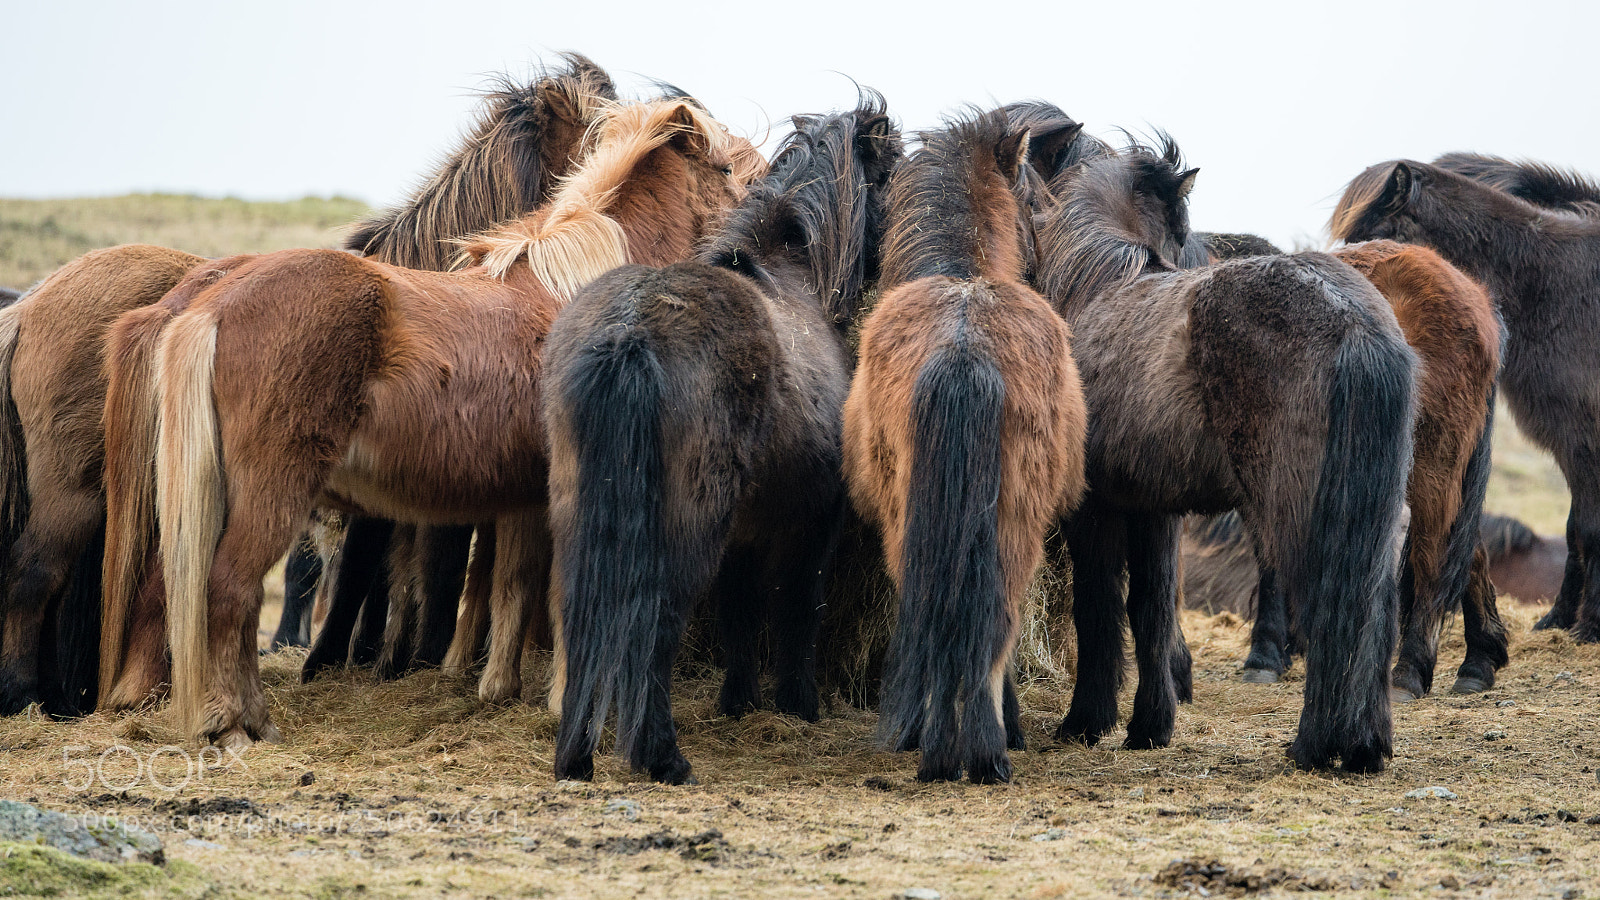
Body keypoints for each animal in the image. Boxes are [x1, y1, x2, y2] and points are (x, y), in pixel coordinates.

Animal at [111, 97, 747, 749]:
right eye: (726, 168)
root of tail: (212, 306)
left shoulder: (524, 498)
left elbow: (511, 584)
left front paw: (499, 688)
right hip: (271, 492)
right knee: (228, 591)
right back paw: (239, 725)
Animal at [547, 96, 902, 784]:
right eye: (890, 176)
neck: (793, 272)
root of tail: (629, 336)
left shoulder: (745, 531)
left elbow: (742, 614)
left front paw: (739, 702)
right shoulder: (813, 522)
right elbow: (797, 608)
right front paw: (798, 705)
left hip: (583, 515)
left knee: (582, 617)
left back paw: (575, 757)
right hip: (686, 529)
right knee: (655, 618)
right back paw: (662, 757)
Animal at [1036, 138, 1416, 773]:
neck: (1096, 286)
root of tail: (1356, 322)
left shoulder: (1097, 508)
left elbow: (1099, 607)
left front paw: (1086, 721)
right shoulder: (1153, 507)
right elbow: (1152, 609)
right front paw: (1149, 726)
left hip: (1298, 513)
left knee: (1331, 607)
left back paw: (1315, 745)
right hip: (1377, 519)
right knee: (1376, 608)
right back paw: (1368, 746)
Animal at [1332, 158, 1600, 642]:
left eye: (1377, 233)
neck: (1557, 288)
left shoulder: (1583, 438)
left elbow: (1590, 529)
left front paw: (1588, 626)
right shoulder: (1571, 443)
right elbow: (1574, 530)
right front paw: (1557, 619)